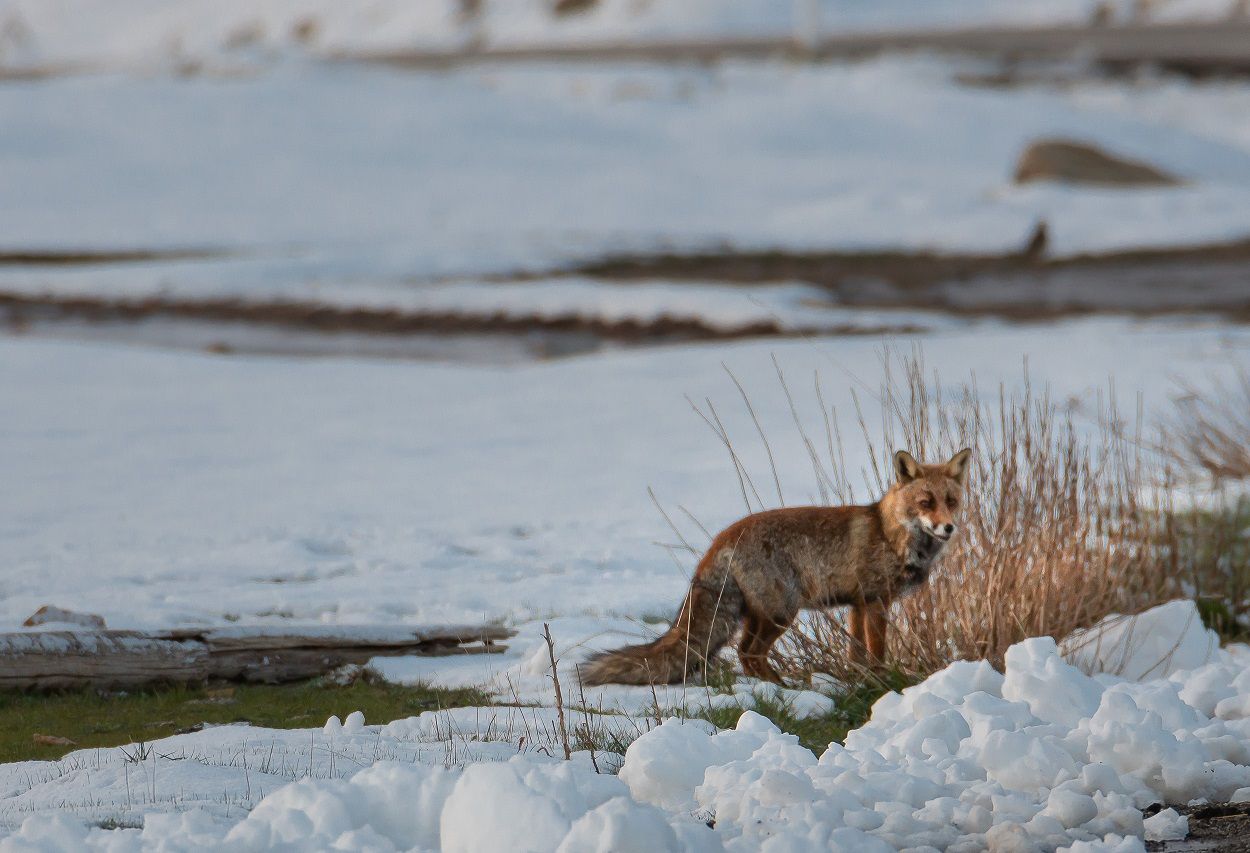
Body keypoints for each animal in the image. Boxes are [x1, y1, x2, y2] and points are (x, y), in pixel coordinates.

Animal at [580, 447, 970, 680]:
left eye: (951, 501)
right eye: (926, 503)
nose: (948, 528)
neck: (891, 534)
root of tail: (723, 536)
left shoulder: (857, 605)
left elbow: (856, 654)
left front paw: (861, 683)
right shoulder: (875, 601)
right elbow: (876, 653)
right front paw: (880, 682)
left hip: (759, 614)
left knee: (745, 654)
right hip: (781, 612)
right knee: (749, 654)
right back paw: (782, 687)